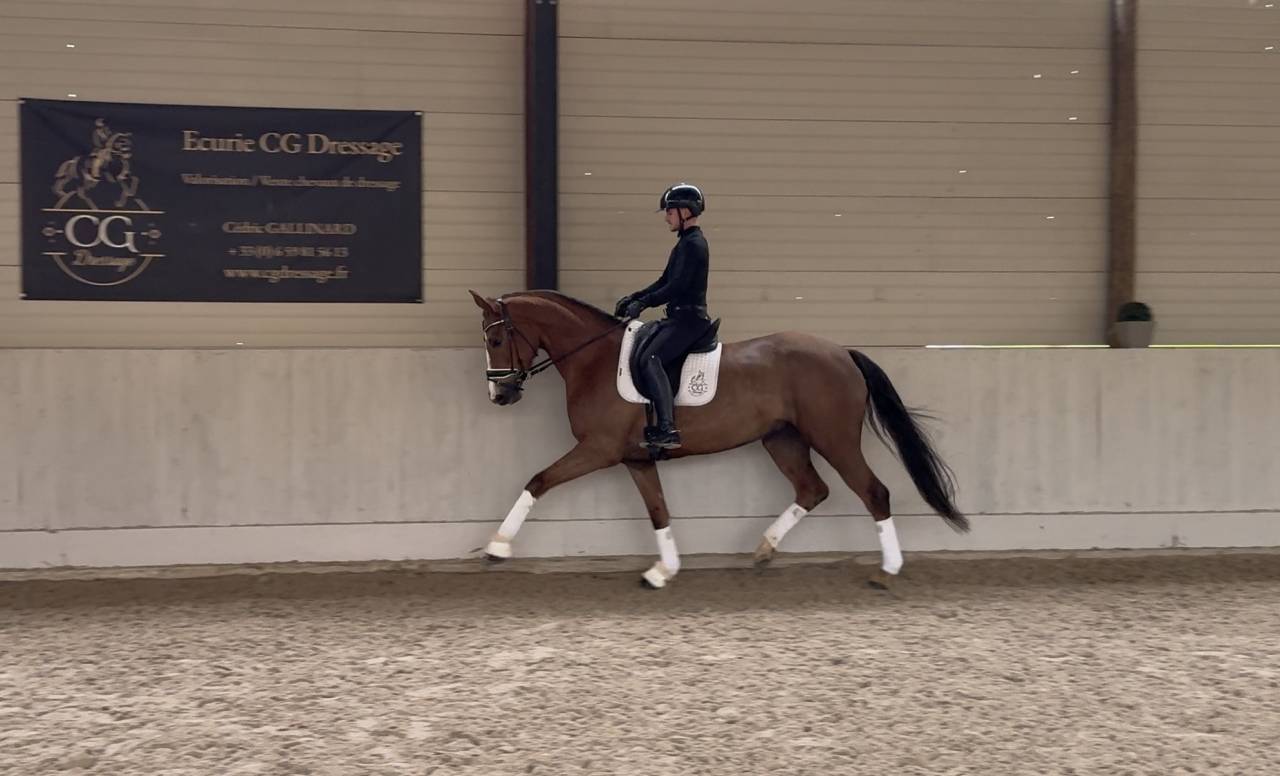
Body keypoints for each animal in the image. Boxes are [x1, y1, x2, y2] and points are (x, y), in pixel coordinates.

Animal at [469, 289, 968, 590]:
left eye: (495, 340)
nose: (500, 395)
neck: (594, 360)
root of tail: (842, 353)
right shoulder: (635, 458)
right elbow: (658, 510)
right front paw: (663, 570)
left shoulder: (599, 449)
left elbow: (538, 480)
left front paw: (497, 546)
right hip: (783, 440)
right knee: (813, 489)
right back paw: (764, 550)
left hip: (834, 439)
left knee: (873, 491)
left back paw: (887, 571)